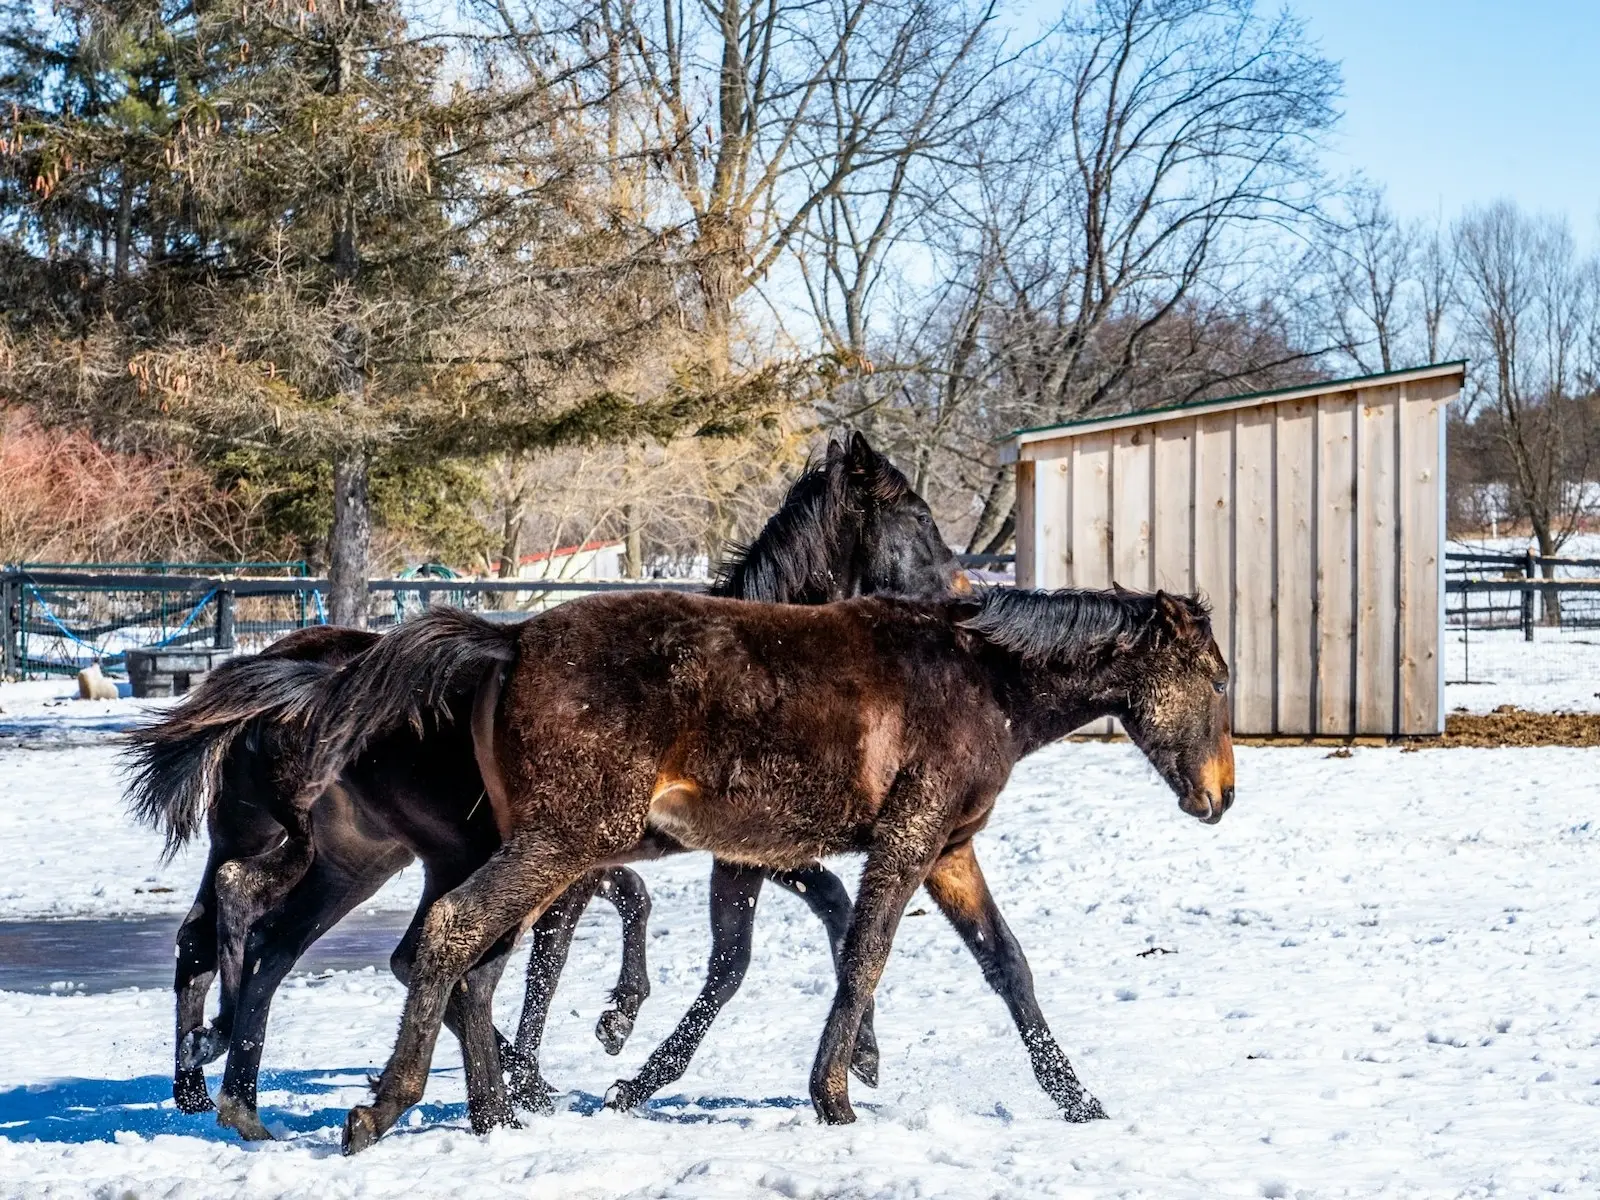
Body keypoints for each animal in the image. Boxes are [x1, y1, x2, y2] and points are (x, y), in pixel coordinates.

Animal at [124, 432, 966, 1139]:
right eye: (918, 517)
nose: (963, 594)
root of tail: (285, 677)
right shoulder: (648, 850)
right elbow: (620, 939)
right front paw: (604, 1042)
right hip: (395, 853)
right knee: (302, 933)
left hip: (354, 858)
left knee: (247, 937)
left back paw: (224, 1091)